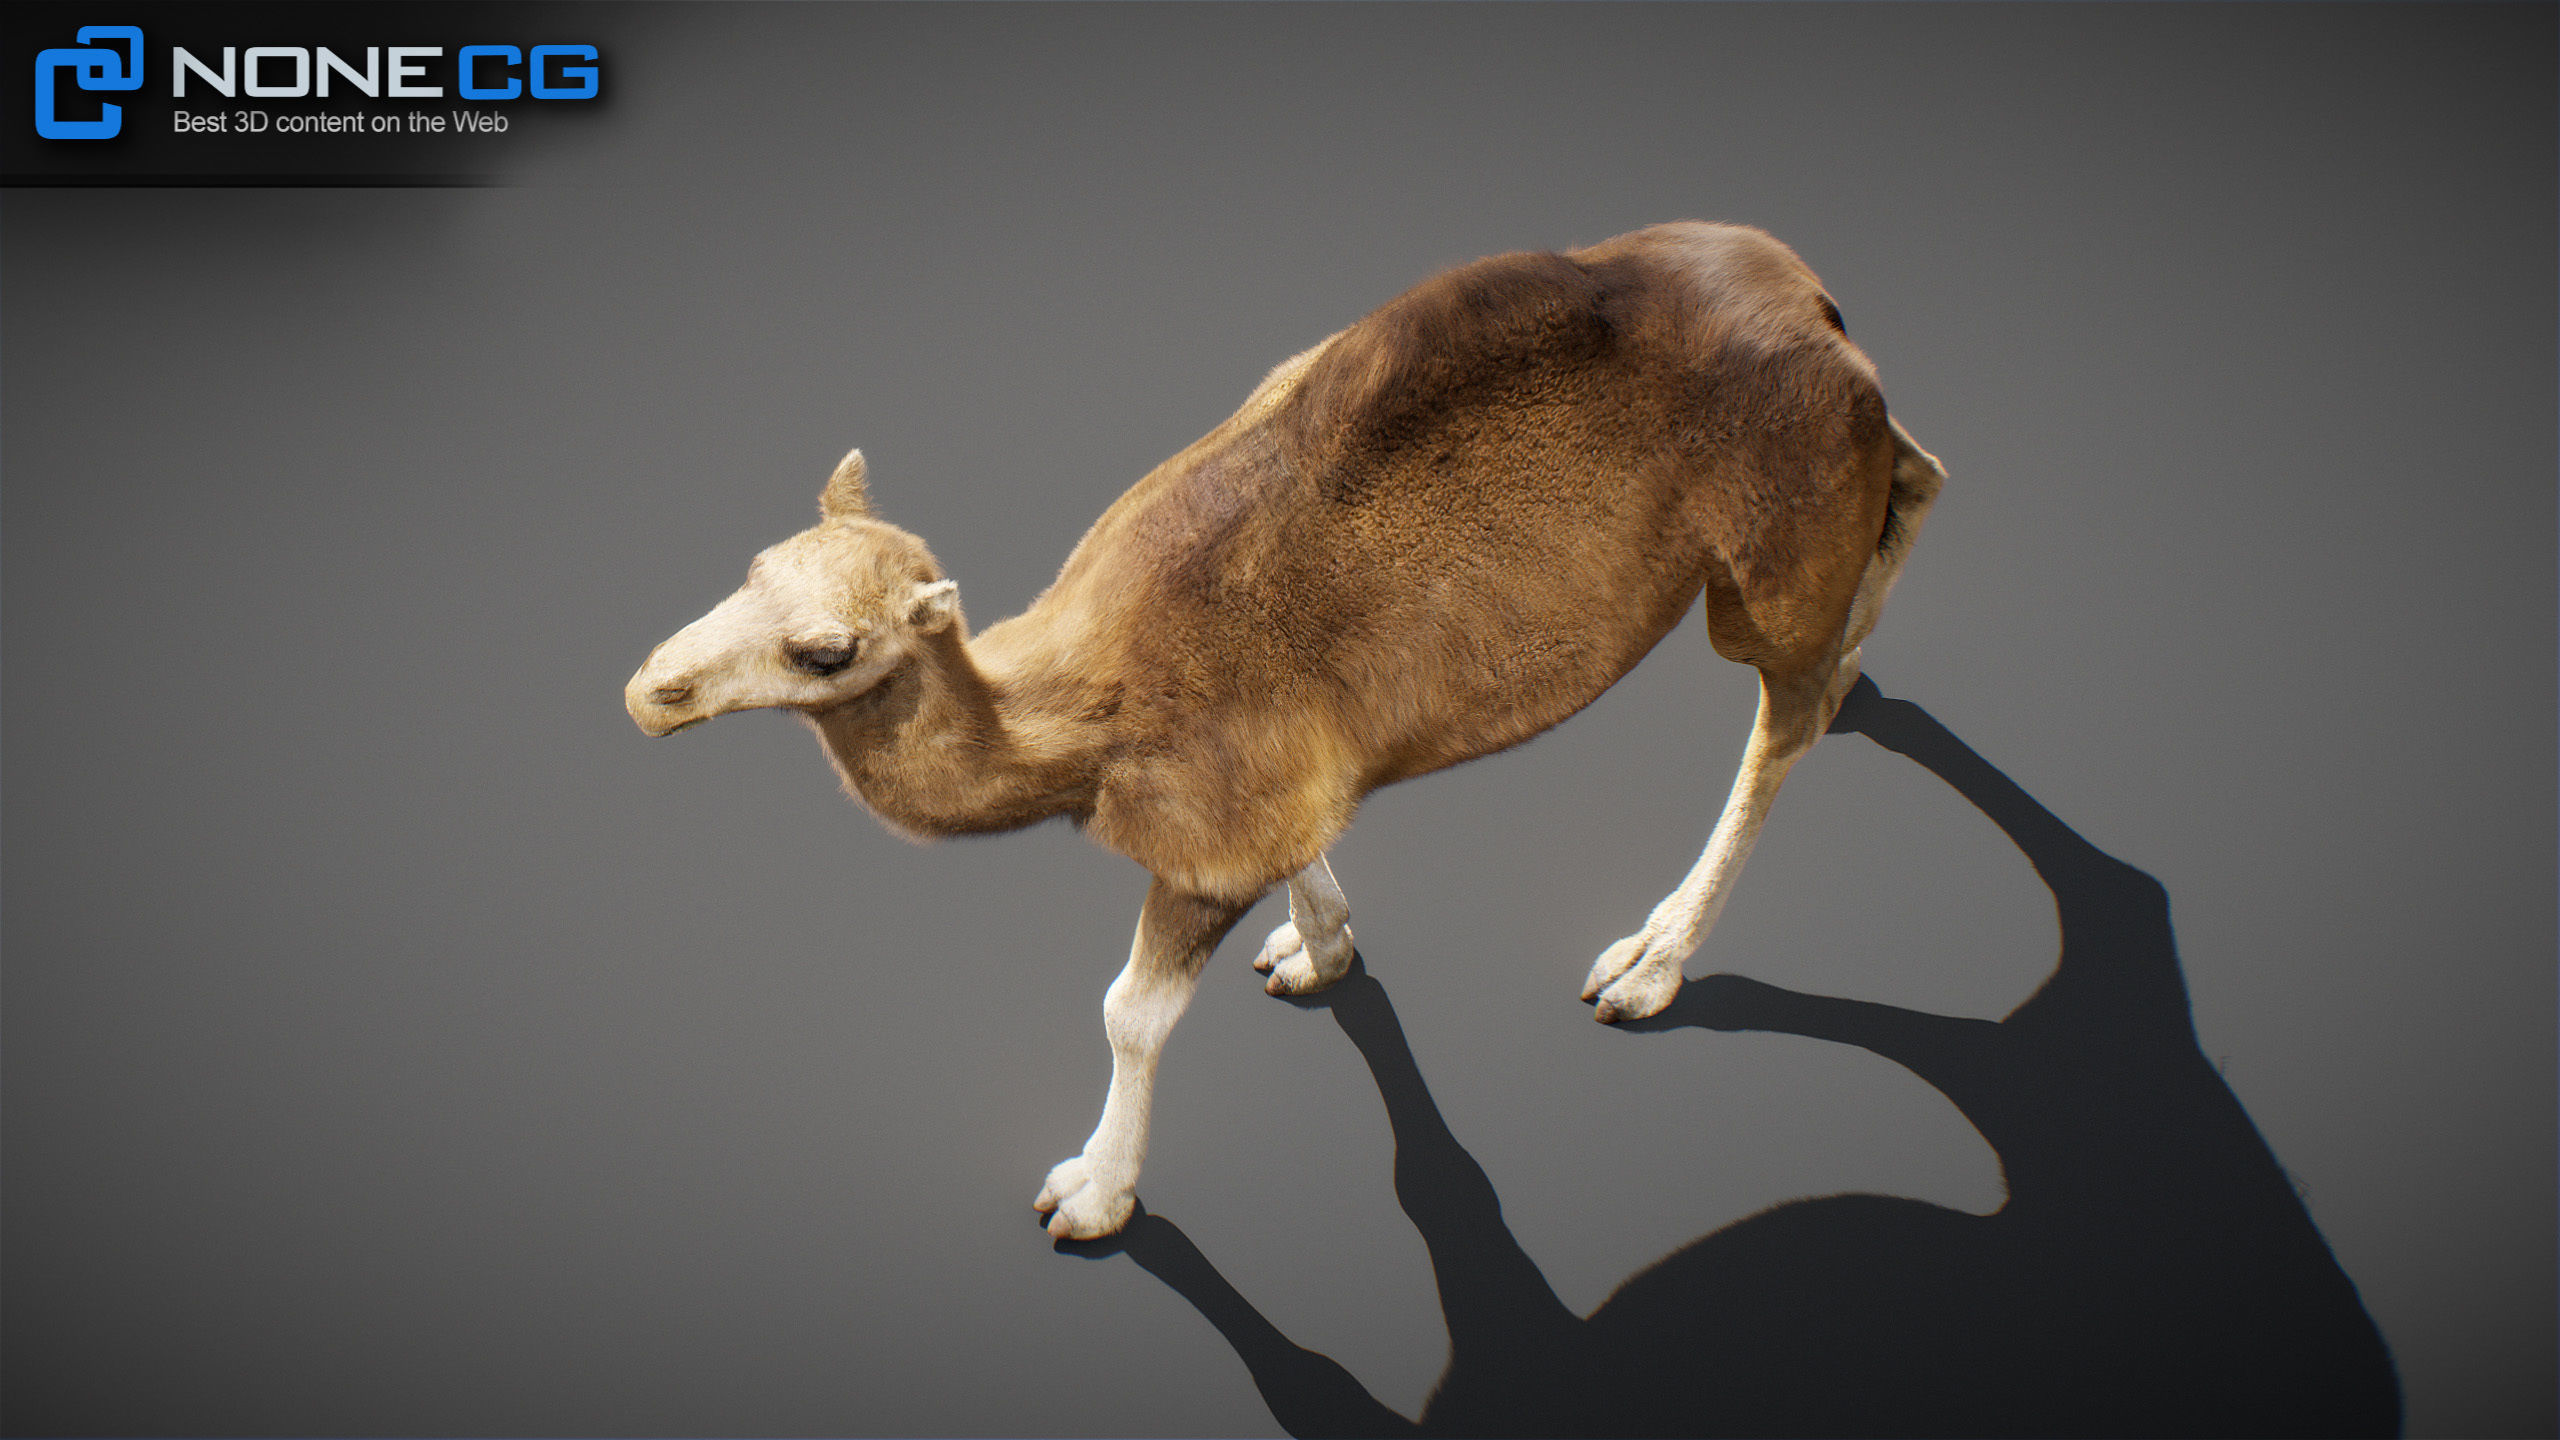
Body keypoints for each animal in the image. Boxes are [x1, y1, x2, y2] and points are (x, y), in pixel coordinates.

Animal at [623, 222, 1946, 1239]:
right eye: (751, 567)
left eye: (823, 652)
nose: (650, 689)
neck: (1077, 722)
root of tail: (1817, 302)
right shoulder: (1284, 777)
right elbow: (1308, 852)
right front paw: (1318, 949)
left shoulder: (1200, 828)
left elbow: (1128, 1010)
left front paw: (1092, 1194)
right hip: (1833, 470)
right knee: (1919, 475)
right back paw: (1862, 662)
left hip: (1772, 541)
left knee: (1781, 718)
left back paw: (1650, 957)